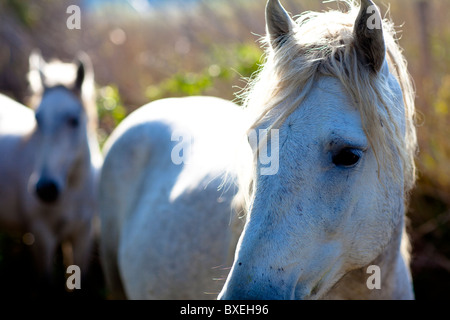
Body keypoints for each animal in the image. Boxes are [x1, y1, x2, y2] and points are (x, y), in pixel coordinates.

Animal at [0, 51, 101, 284]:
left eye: (74, 120)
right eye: (38, 119)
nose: (45, 189)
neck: (72, 190)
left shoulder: (83, 232)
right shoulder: (42, 235)